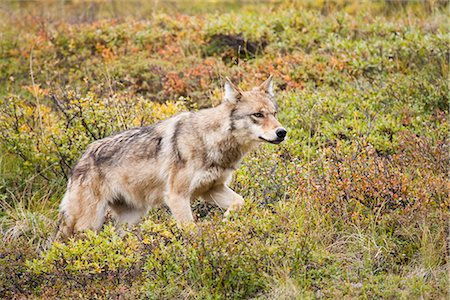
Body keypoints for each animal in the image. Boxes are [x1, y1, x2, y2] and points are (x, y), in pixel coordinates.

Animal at [59, 76, 284, 236]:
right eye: (258, 115)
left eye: (274, 113)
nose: (282, 132)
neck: (209, 139)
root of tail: (81, 158)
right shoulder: (177, 196)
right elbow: (192, 231)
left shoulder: (211, 189)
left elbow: (240, 202)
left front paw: (226, 221)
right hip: (89, 223)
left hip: (130, 218)